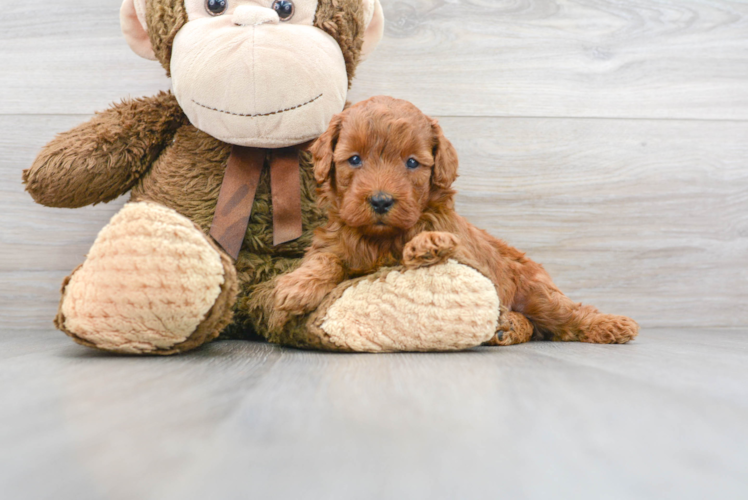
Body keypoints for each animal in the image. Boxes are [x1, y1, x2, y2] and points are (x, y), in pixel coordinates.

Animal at [272, 98, 640, 348]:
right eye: (354, 159)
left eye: (412, 163)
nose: (380, 200)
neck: (381, 238)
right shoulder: (335, 240)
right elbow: (325, 259)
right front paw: (295, 287)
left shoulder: (470, 258)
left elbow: (440, 241)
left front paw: (427, 244)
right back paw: (507, 327)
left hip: (536, 291)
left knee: (567, 315)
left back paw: (612, 325)